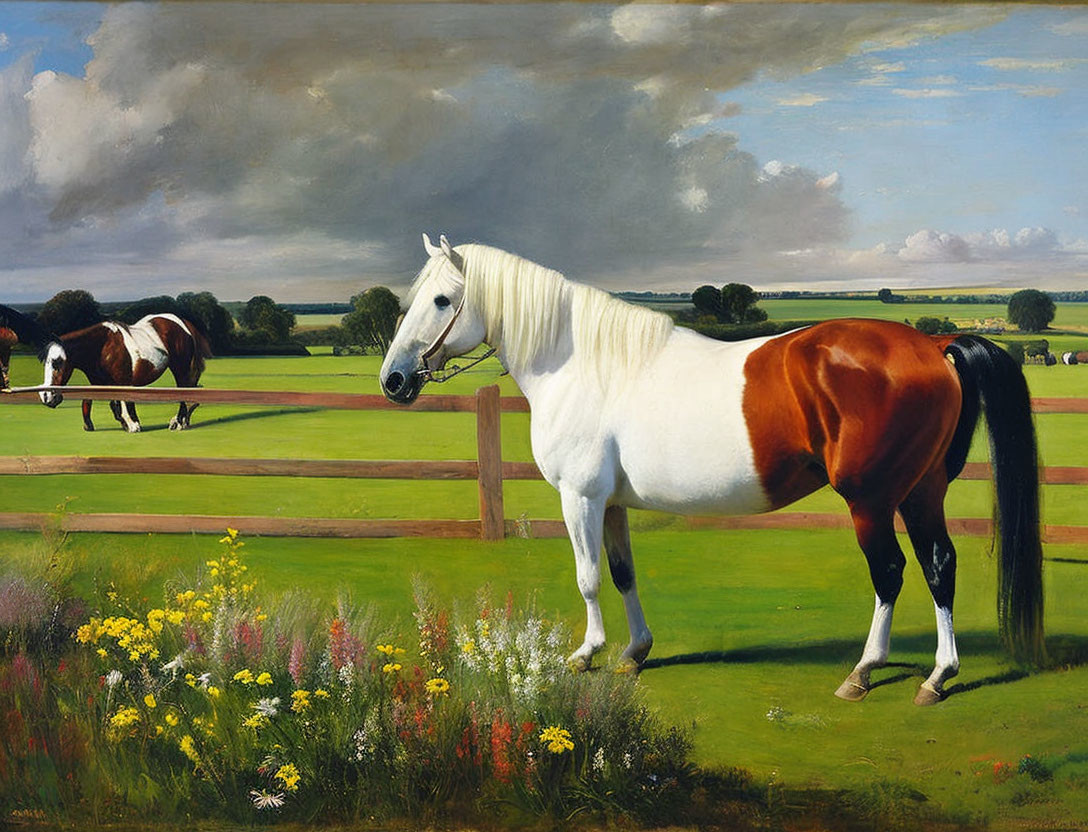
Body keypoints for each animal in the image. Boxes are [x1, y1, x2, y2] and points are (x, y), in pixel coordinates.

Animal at [40, 311, 211, 428]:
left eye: (57, 362)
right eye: (45, 363)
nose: (47, 397)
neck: (102, 347)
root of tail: (182, 322)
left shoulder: (123, 381)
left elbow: (126, 400)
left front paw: (132, 424)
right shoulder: (99, 383)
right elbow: (94, 400)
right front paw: (93, 424)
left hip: (180, 368)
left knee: (183, 390)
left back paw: (179, 422)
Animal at [380, 234, 1044, 709]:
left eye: (441, 300)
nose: (394, 380)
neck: (583, 364)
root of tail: (931, 346)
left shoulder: (581, 497)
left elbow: (589, 578)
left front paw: (587, 653)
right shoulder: (611, 502)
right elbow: (621, 573)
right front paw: (635, 652)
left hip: (872, 498)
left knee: (890, 572)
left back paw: (863, 672)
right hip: (920, 492)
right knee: (939, 566)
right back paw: (938, 675)